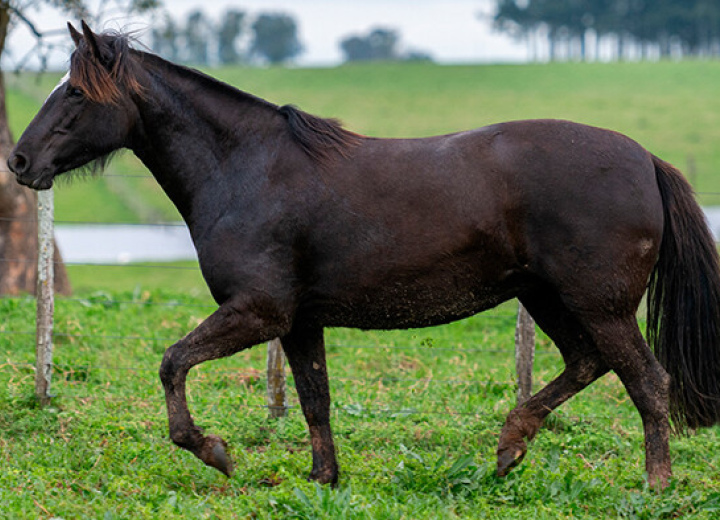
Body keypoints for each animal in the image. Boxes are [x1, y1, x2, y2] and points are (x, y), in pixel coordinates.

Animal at [5, 21, 720, 492]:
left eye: (75, 92)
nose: (20, 161)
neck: (247, 169)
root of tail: (645, 158)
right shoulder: (298, 322)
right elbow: (314, 399)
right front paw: (324, 478)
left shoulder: (258, 312)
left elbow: (172, 362)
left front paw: (213, 451)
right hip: (548, 297)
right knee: (588, 364)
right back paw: (509, 447)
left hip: (598, 304)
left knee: (646, 380)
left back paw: (655, 484)